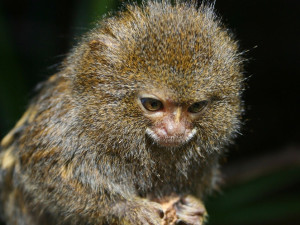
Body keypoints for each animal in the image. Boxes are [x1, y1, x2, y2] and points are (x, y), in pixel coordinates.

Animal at [0, 0, 244, 224]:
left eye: (195, 107)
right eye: (153, 104)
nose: (175, 130)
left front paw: (192, 209)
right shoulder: (62, 127)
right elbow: (43, 171)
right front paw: (128, 209)